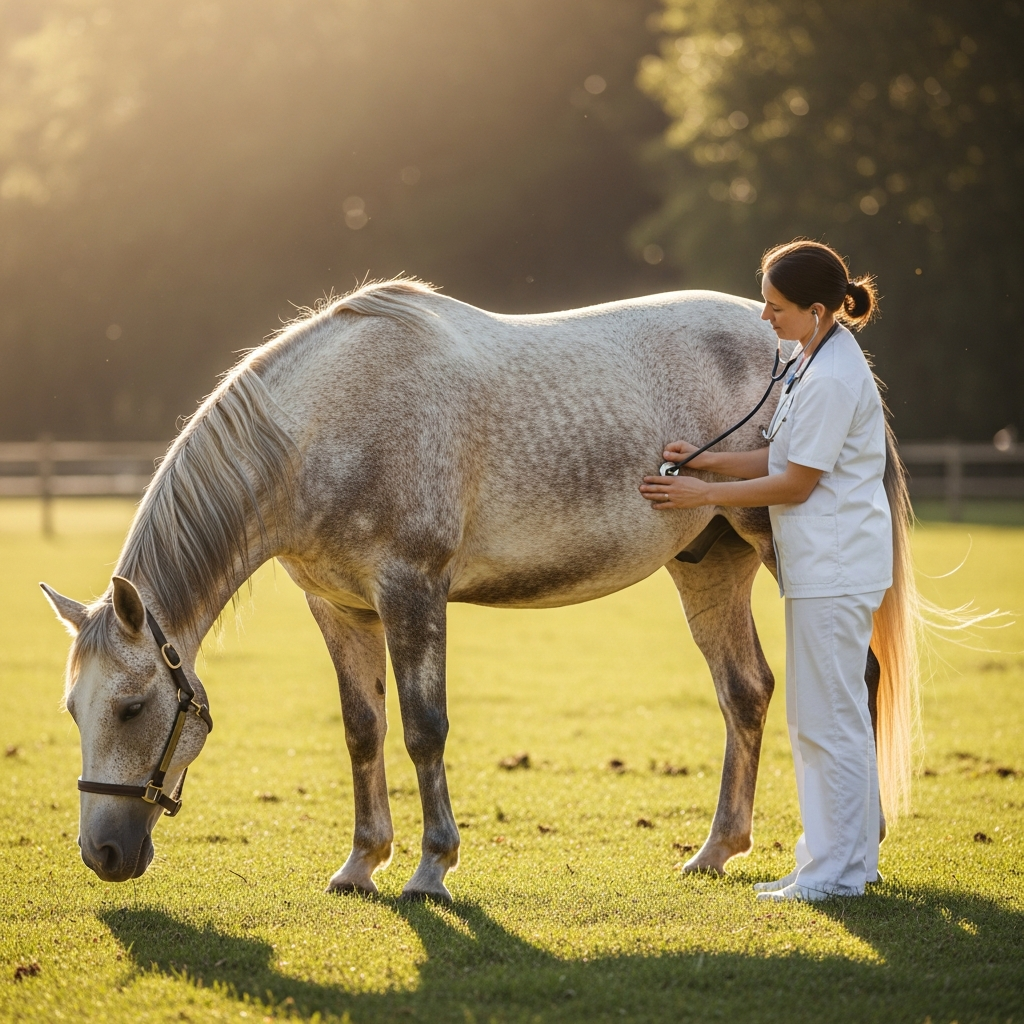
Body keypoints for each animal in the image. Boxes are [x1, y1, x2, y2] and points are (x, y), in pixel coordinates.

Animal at [41, 279, 916, 901]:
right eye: (73, 710)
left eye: (131, 708)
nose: (103, 853)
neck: (323, 425)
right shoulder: (340, 608)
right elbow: (364, 730)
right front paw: (361, 864)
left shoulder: (412, 591)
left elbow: (424, 730)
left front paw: (432, 868)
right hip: (710, 562)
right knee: (746, 690)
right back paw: (715, 850)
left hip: (775, 545)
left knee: (857, 676)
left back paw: (860, 846)